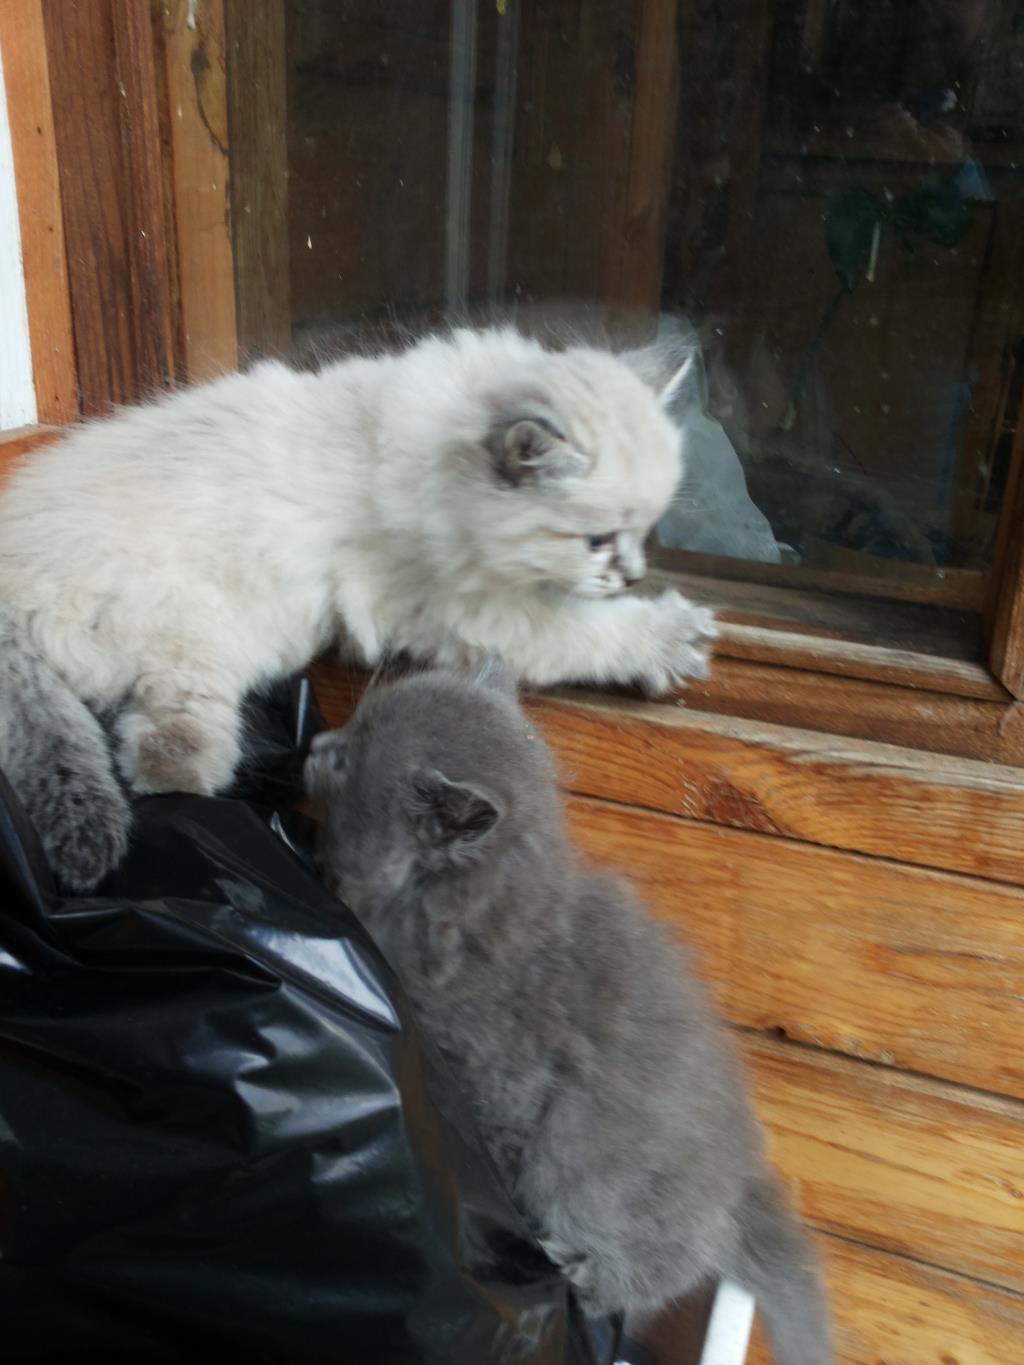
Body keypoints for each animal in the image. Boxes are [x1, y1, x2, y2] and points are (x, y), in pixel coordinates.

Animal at [0, 326, 716, 892]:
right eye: (597, 540)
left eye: (644, 531)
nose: (632, 574)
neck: (438, 471)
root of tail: (10, 594)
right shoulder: (471, 611)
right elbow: (581, 632)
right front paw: (672, 639)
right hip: (195, 647)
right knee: (162, 761)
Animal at [305, 666, 831, 1364]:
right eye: (345, 732)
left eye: (347, 759)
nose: (315, 744)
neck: (466, 909)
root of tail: (741, 1180)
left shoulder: (498, 1083)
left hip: (586, 1173)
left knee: (673, 1262)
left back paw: (584, 1275)